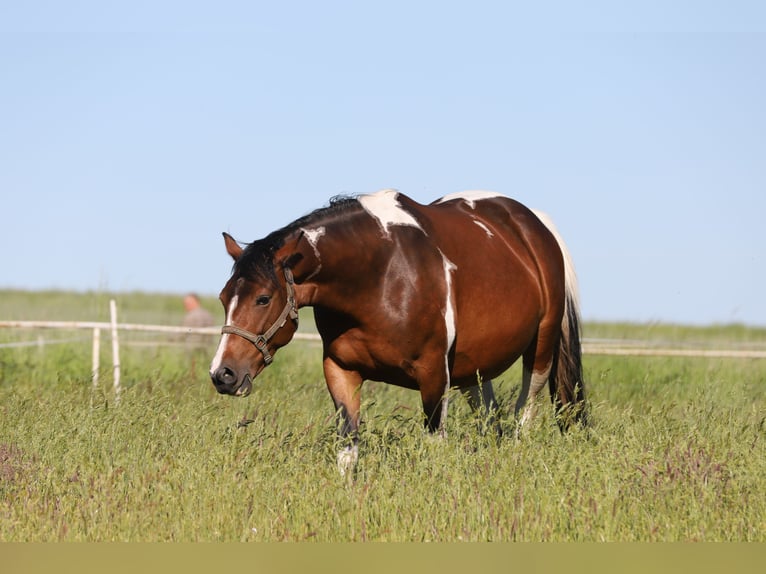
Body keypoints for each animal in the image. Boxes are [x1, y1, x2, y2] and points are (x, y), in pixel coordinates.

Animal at [210, 189, 587, 472]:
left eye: (263, 298)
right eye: (224, 297)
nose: (222, 374)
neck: (379, 274)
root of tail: (534, 224)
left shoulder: (434, 375)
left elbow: (435, 445)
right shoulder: (341, 370)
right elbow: (348, 449)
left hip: (540, 352)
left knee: (525, 412)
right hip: (473, 369)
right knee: (490, 418)